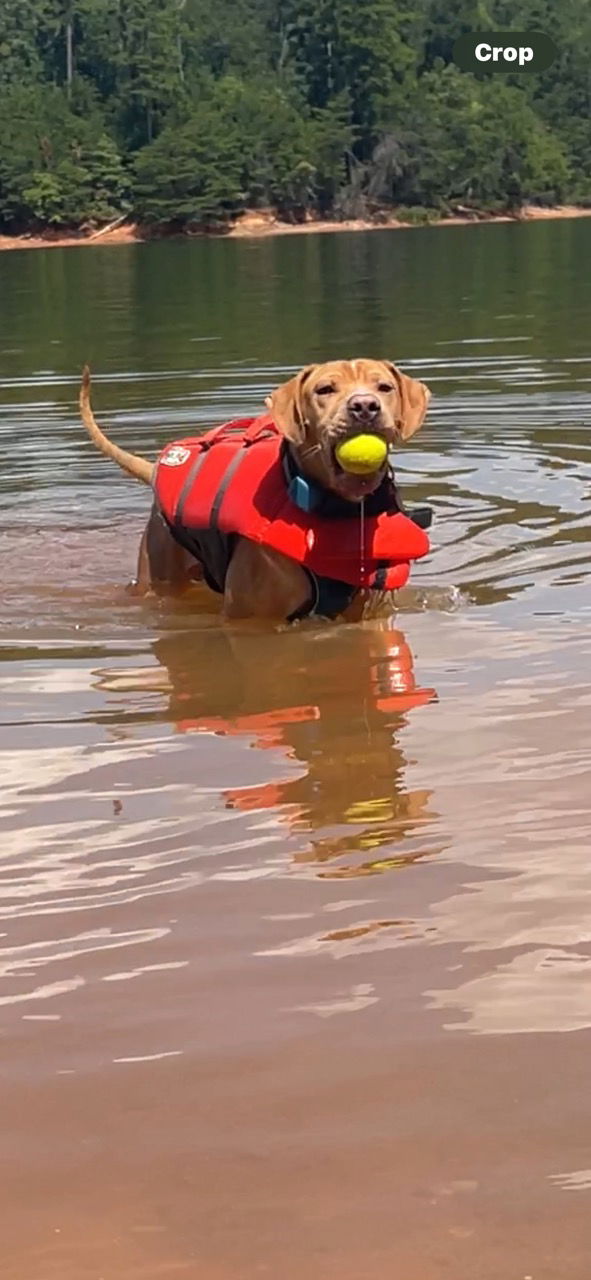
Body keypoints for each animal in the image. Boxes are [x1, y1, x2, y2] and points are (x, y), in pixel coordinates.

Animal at [79, 358, 429, 622]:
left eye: (384, 387)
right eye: (325, 389)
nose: (365, 406)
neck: (336, 509)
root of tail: (155, 468)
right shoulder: (247, 617)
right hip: (159, 566)